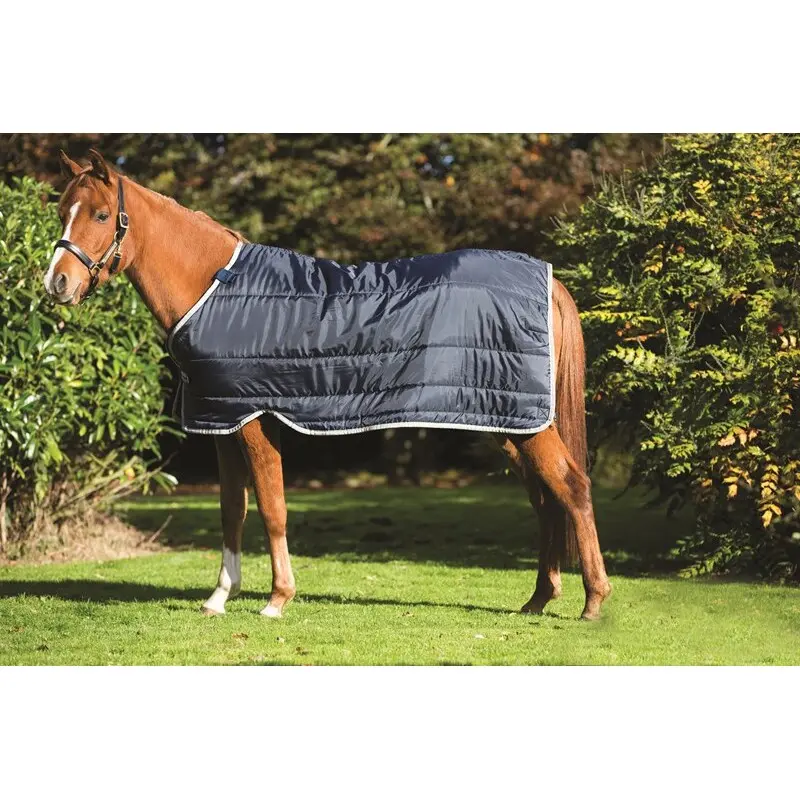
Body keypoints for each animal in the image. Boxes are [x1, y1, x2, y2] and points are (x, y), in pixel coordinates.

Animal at [43, 149, 612, 621]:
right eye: (61, 211)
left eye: (100, 215)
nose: (57, 284)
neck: (215, 288)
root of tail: (547, 280)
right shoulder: (223, 421)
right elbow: (232, 511)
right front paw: (219, 597)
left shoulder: (254, 419)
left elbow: (272, 508)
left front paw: (277, 599)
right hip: (506, 420)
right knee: (545, 498)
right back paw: (538, 599)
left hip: (524, 423)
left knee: (573, 488)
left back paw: (592, 602)